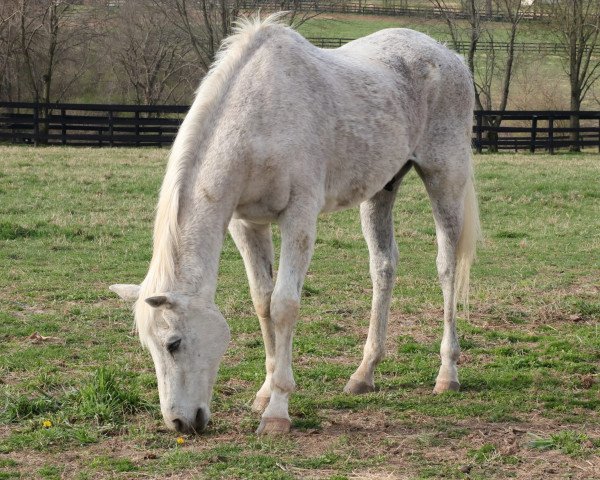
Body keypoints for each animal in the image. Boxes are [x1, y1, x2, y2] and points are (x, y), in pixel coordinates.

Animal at [110, 14, 480, 436]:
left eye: (174, 343)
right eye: (150, 347)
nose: (179, 422)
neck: (257, 118)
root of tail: (448, 55)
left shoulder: (299, 216)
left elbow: (284, 304)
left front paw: (277, 411)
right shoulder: (246, 223)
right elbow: (263, 303)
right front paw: (264, 392)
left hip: (444, 179)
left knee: (447, 268)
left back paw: (447, 374)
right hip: (382, 189)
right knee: (383, 268)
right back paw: (363, 374)